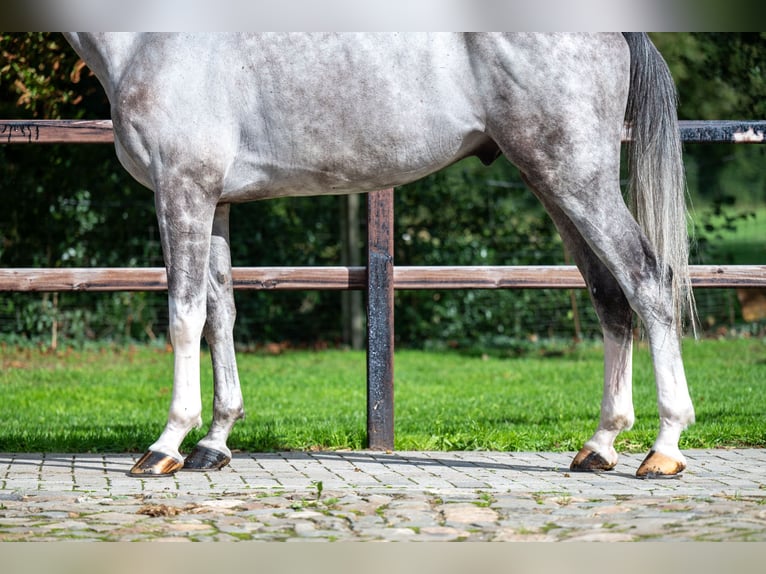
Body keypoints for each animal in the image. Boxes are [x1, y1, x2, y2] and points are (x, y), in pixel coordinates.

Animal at [66, 33, 696, 480]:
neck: (149, 38)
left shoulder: (182, 189)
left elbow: (184, 316)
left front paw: (167, 443)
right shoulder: (216, 201)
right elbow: (222, 316)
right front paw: (214, 444)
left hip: (576, 178)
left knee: (646, 280)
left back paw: (663, 448)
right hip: (555, 183)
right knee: (610, 297)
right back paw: (601, 444)